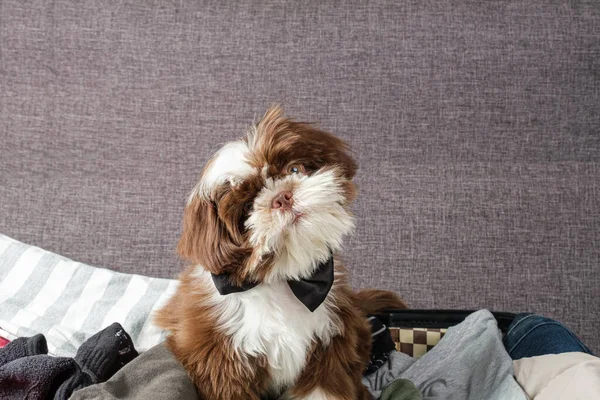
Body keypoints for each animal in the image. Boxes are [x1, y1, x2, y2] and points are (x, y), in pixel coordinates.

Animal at [157, 106, 406, 400]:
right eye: (247, 207)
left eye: (295, 169)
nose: (282, 197)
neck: (282, 279)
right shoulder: (219, 357)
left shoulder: (332, 337)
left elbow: (324, 384)